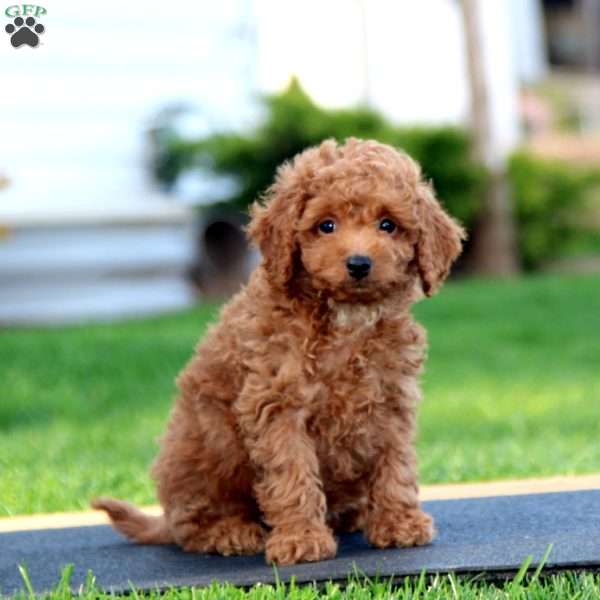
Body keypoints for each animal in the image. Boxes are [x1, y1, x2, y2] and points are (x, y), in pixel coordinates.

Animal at [94, 138, 466, 564]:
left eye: (388, 225)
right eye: (326, 225)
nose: (358, 263)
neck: (345, 320)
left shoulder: (391, 399)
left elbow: (397, 465)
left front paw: (398, 523)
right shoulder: (277, 405)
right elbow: (292, 473)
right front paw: (301, 538)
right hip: (206, 453)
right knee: (190, 523)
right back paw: (228, 531)